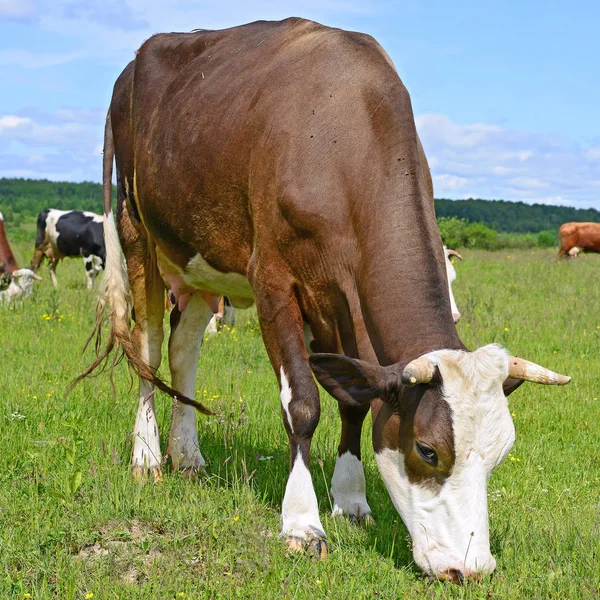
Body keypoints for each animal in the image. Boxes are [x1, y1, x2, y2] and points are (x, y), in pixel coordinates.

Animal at [82, 17, 568, 580]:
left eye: (499, 454)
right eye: (427, 450)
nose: (471, 569)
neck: (340, 136)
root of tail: (137, 59)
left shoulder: (338, 298)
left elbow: (354, 401)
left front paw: (352, 500)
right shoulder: (273, 282)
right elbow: (303, 404)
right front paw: (302, 523)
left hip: (200, 260)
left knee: (184, 351)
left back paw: (188, 457)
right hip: (136, 229)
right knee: (149, 348)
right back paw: (147, 457)